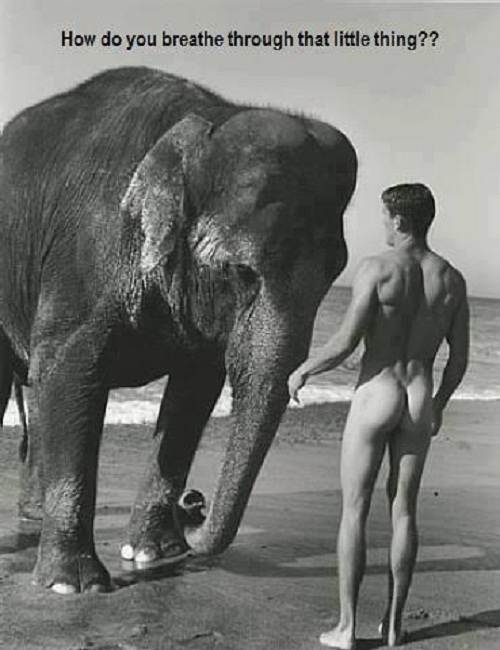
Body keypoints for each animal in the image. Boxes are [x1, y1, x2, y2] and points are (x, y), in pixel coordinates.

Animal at [0, 66, 357, 594]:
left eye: (335, 274)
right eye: (240, 272)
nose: (194, 505)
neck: (209, 118)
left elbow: (195, 391)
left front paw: (154, 554)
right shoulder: (85, 252)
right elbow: (71, 367)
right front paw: (73, 585)